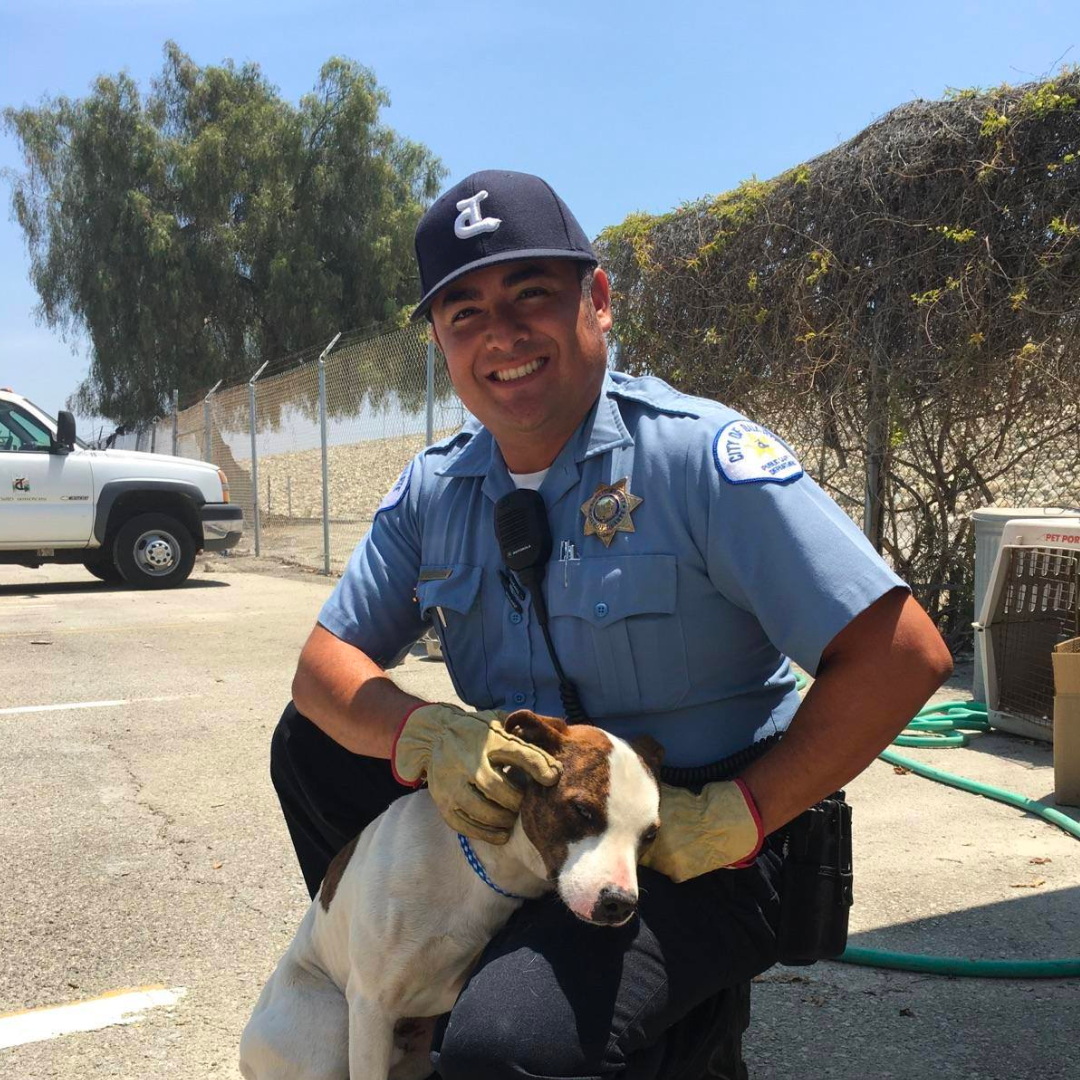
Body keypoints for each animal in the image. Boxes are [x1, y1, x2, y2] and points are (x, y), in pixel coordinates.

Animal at [240, 712, 660, 1075]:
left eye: (650, 835)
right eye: (583, 810)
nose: (620, 903)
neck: (483, 870)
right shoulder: (369, 1006)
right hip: (330, 1029)